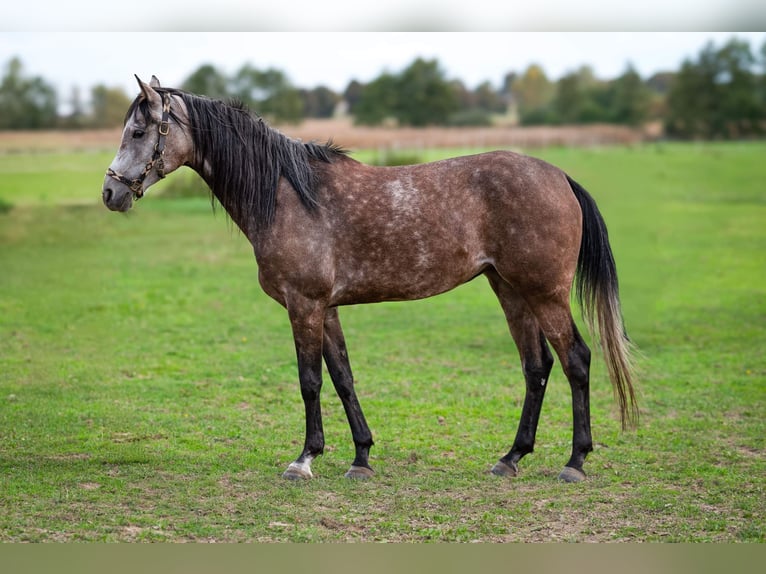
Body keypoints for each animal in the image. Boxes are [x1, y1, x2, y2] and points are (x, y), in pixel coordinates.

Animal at [103, 75, 640, 482]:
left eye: (138, 131)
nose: (110, 193)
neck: (289, 195)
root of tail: (559, 177)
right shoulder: (326, 308)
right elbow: (343, 377)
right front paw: (360, 457)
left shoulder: (304, 305)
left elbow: (310, 381)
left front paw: (304, 460)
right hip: (509, 289)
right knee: (536, 366)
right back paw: (511, 458)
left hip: (544, 293)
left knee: (575, 361)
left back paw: (574, 462)